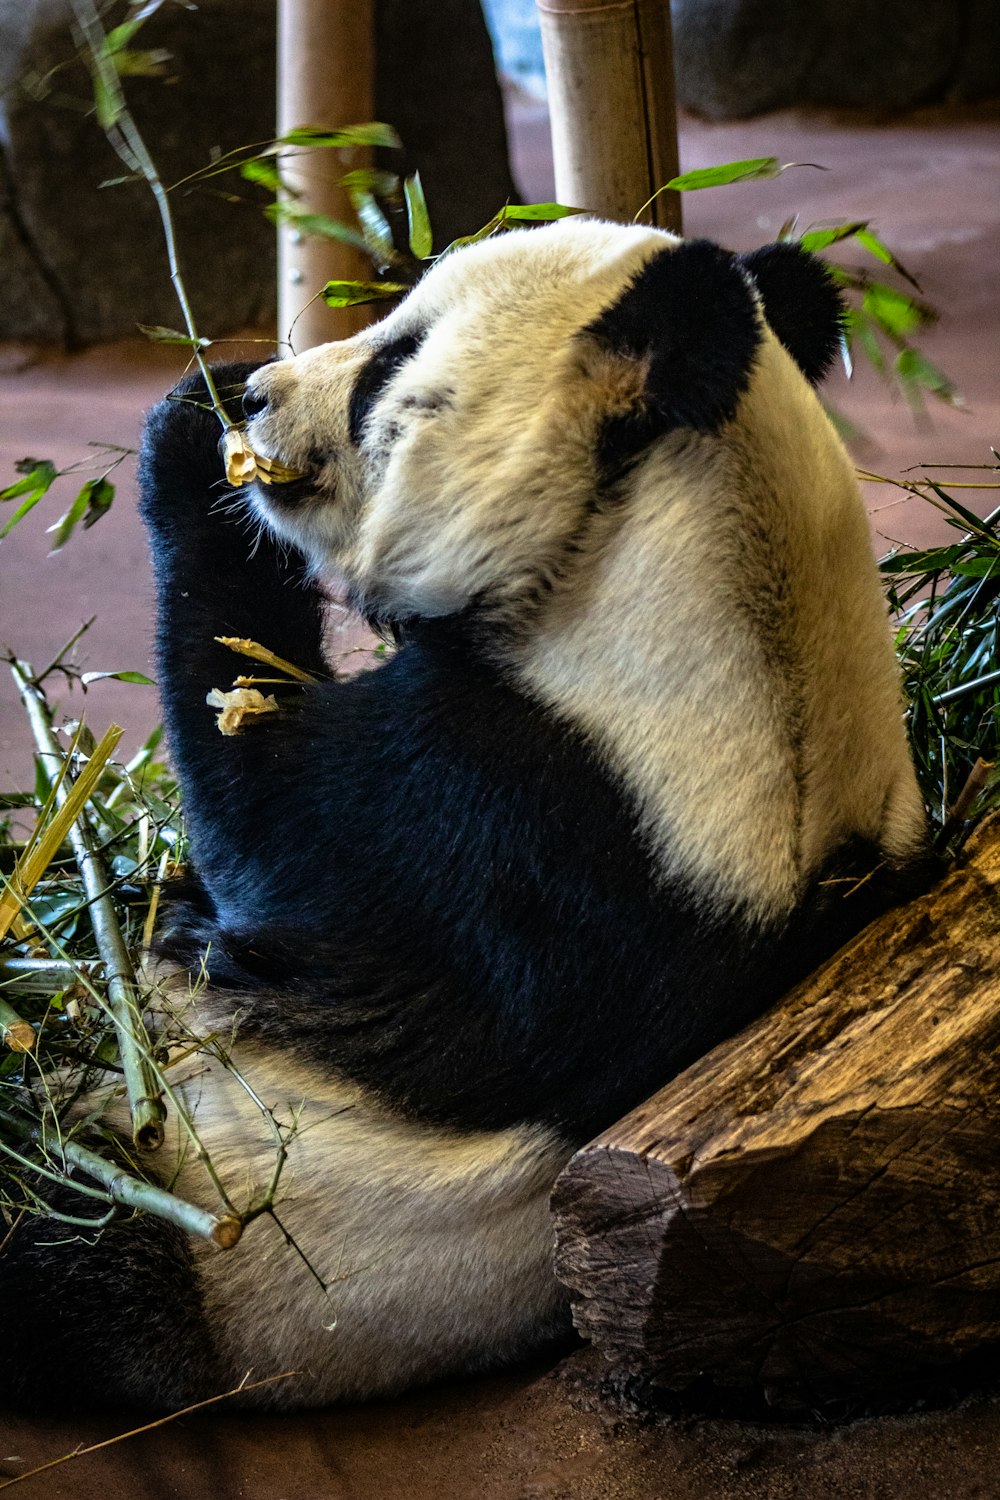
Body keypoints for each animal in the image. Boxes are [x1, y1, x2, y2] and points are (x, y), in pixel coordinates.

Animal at [3, 217, 929, 1410]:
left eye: (391, 368)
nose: (255, 391)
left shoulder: (531, 824)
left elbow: (267, 816)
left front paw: (189, 436)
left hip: (216, 1241)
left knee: (62, 1235)